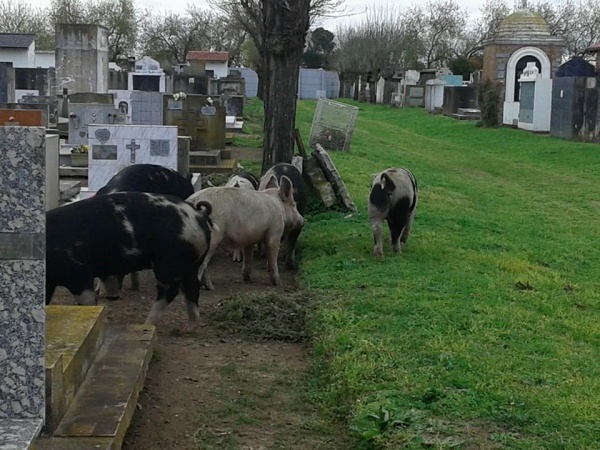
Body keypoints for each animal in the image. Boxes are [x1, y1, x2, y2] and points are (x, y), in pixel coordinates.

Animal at [46, 192, 216, 328]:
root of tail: (198, 216)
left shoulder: (78, 270)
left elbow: (87, 300)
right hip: (191, 263)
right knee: (192, 287)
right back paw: (189, 327)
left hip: (170, 262)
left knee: (169, 291)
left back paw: (146, 324)